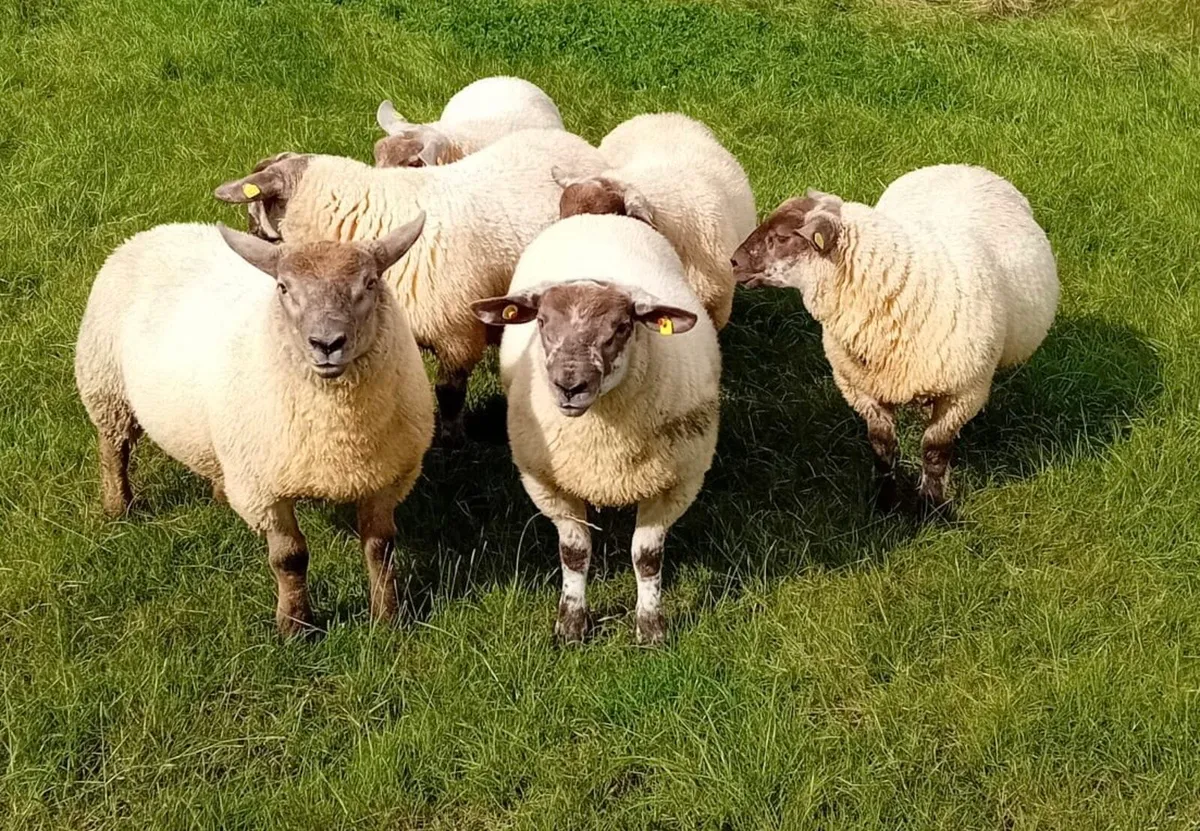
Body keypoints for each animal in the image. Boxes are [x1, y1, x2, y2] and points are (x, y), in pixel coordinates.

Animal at [74, 215, 434, 636]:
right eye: (283, 287)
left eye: (371, 283)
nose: (327, 343)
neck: (338, 433)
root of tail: (156, 231)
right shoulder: (264, 489)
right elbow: (290, 557)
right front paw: (295, 626)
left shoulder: (386, 478)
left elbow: (381, 549)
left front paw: (388, 618)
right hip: (106, 386)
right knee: (113, 448)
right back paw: (119, 506)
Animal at [212, 128, 608, 444]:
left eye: (255, 211)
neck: (369, 214)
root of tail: (569, 140)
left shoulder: (457, 334)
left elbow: (449, 394)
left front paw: (452, 441)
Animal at [471, 214, 721, 644]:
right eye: (541, 321)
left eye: (621, 327)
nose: (570, 385)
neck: (603, 445)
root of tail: (599, 215)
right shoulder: (548, 484)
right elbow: (574, 553)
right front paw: (572, 624)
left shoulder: (676, 484)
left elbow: (647, 557)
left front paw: (651, 628)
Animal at [731, 163, 1059, 512]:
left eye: (781, 238)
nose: (733, 261)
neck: (902, 288)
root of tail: (960, 166)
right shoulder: (863, 389)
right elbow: (882, 446)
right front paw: (885, 500)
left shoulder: (963, 392)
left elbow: (934, 451)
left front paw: (930, 505)